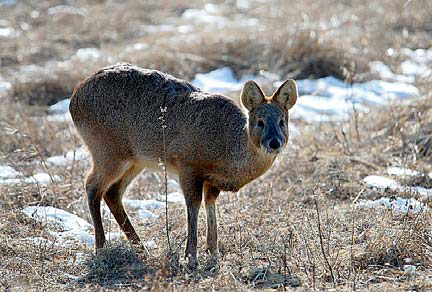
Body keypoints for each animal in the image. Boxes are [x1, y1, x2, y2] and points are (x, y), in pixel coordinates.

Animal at [69, 62, 296, 270]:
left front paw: (213, 252)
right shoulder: (187, 165)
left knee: (112, 192)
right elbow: (193, 206)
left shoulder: (211, 180)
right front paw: (191, 257)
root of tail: (74, 98)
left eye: (282, 121)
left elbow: (210, 205)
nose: (274, 142)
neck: (226, 148)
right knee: (92, 186)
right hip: (107, 151)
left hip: (136, 159)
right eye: (260, 122)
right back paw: (101, 247)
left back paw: (141, 248)